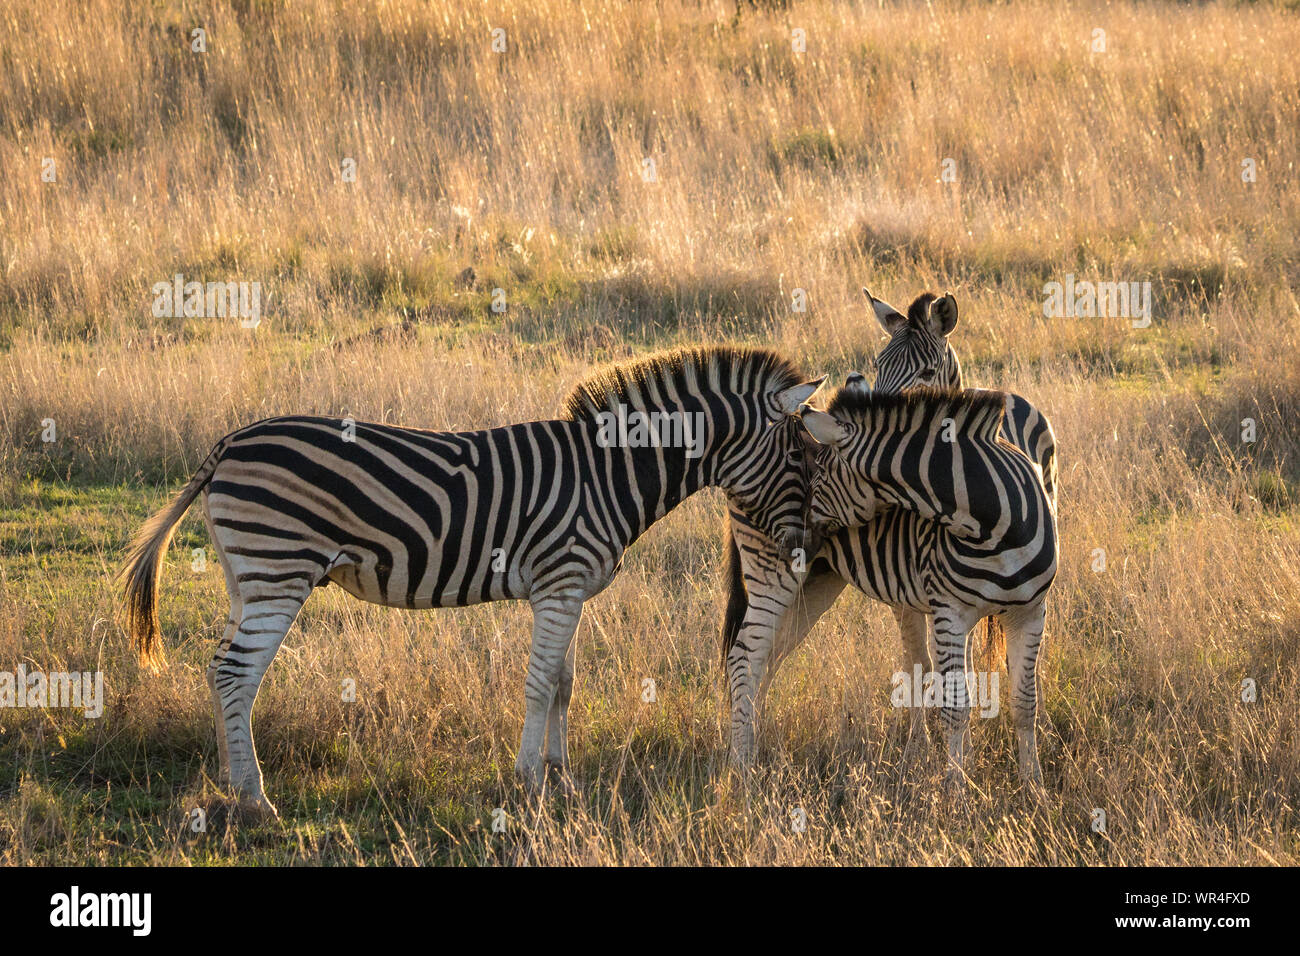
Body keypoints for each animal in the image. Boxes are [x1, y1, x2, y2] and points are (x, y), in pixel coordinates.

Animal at [126, 348, 826, 811]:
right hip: (278, 572)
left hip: (244, 578)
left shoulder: (567, 591)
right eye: (800, 456)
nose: (802, 550)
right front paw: (529, 781)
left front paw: (563, 778)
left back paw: (228, 777)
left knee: (219, 667)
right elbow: (540, 683)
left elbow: (564, 683)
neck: (609, 475)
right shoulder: (560, 583)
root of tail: (229, 443)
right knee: (236, 673)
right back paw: (254, 798)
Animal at [795, 385, 1060, 790]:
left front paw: (1034, 786)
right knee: (920, 666)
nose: (802, 540)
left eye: (821, 473)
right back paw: (918, 753)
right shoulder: (950, 613)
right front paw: (957, 788)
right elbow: (955, 704)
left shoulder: (1030, 612)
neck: (996, 526)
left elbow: (1024, 702)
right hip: (913, 600)